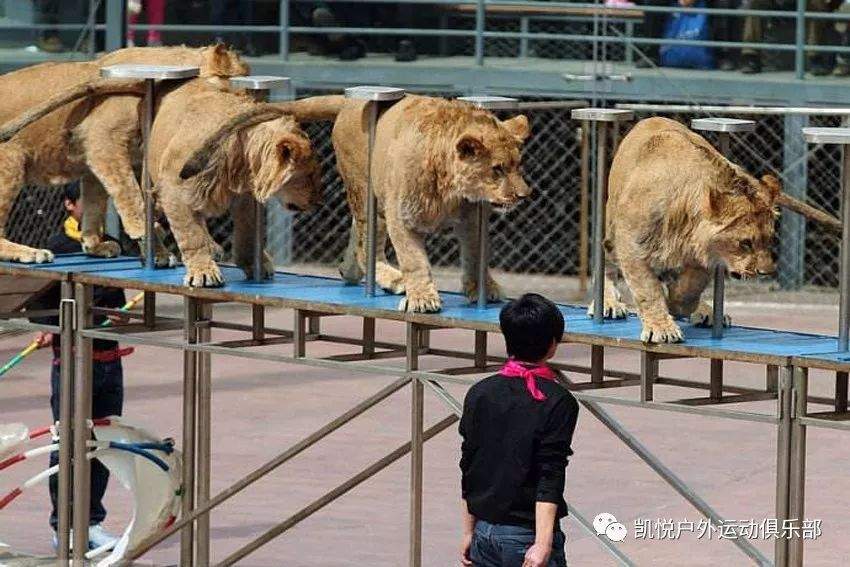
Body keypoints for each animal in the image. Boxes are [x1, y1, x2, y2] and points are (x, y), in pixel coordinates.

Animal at [0, 45, 248, 266]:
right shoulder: (102, 140)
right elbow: (130, 195)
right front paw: (145, 232)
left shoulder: (98, 160)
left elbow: (95, 205)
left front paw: (97, 246)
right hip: (10, 164)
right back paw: (30, 252)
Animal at [147, 77, 320, 286]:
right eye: (309, 175)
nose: (319, 203)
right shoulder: (173, 188)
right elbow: (191, 235)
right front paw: (203, 272)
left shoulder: (245, 197)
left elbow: (247, 233)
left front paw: (255, 265)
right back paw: (160, 254)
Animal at [278, 95, 528, 312]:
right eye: (497, 169)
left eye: (518, 165)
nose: (524, 195)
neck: (450, 189)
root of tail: (350, 101)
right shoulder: (401, 218)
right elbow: (414, 260)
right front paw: (422, 299)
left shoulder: (471, 220)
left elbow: (475, 256)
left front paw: (483, 289)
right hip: (367, 194)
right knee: (366, 248)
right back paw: (395, 280)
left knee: (358, 241)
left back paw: (349, 271)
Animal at [600, 117, 780, 344]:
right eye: (745, 243)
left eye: (770, 240)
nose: (767, 273)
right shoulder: (632, 245)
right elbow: (647, 290)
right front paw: (662, 328)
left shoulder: (705, 256)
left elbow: (689, 289)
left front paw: (677, 305)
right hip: (611, 232)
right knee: (607, 264)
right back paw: (609, 304)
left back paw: (706, 312)